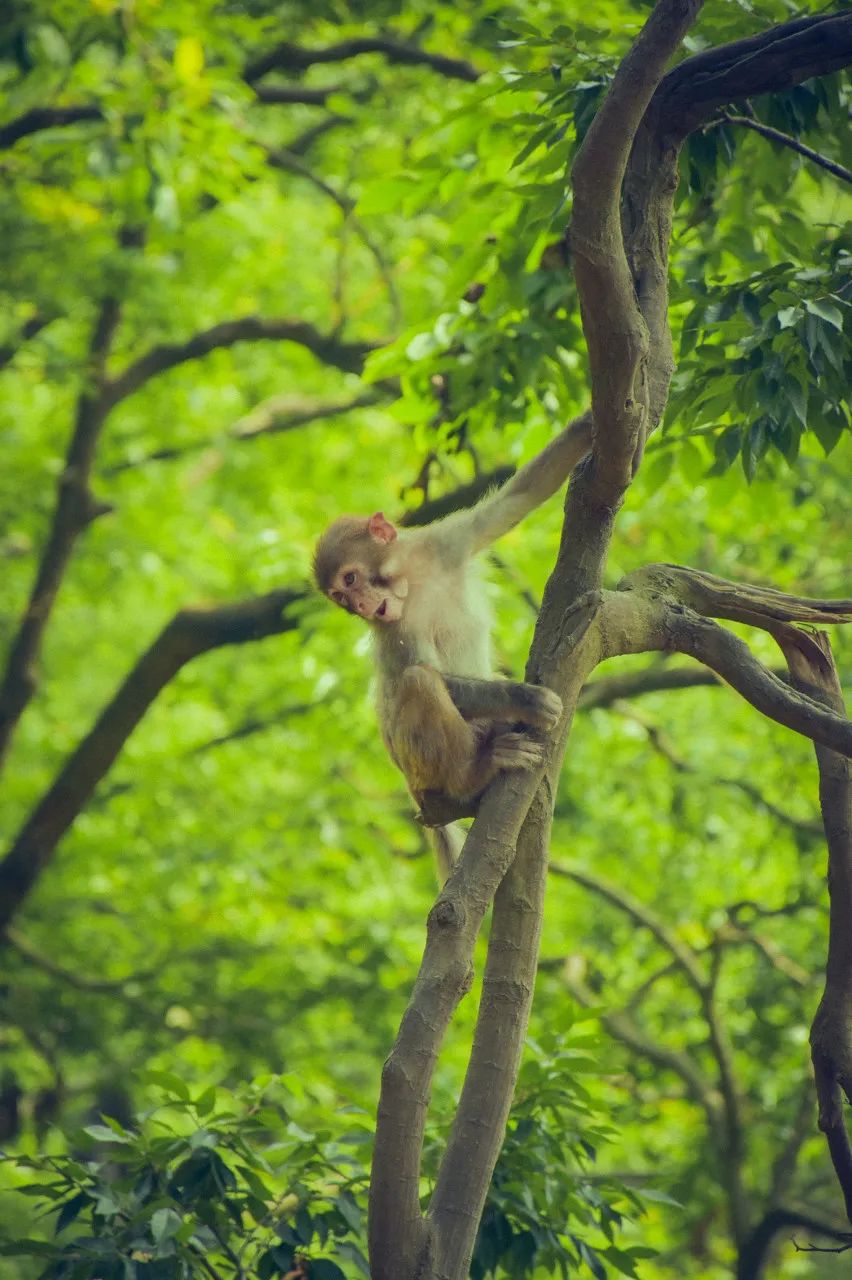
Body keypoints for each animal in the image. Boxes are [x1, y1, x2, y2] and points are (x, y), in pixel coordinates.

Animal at [312, 414, 591, 885]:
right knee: (417, 683)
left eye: (349, 581)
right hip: (421, 770)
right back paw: (476, 773)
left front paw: (592, 425)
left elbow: (519, 498)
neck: (411, 579)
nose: (364, 607)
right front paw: (523, 697)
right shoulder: (394, 631)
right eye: (343, 599)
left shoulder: (447, 539)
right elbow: (423, 673)